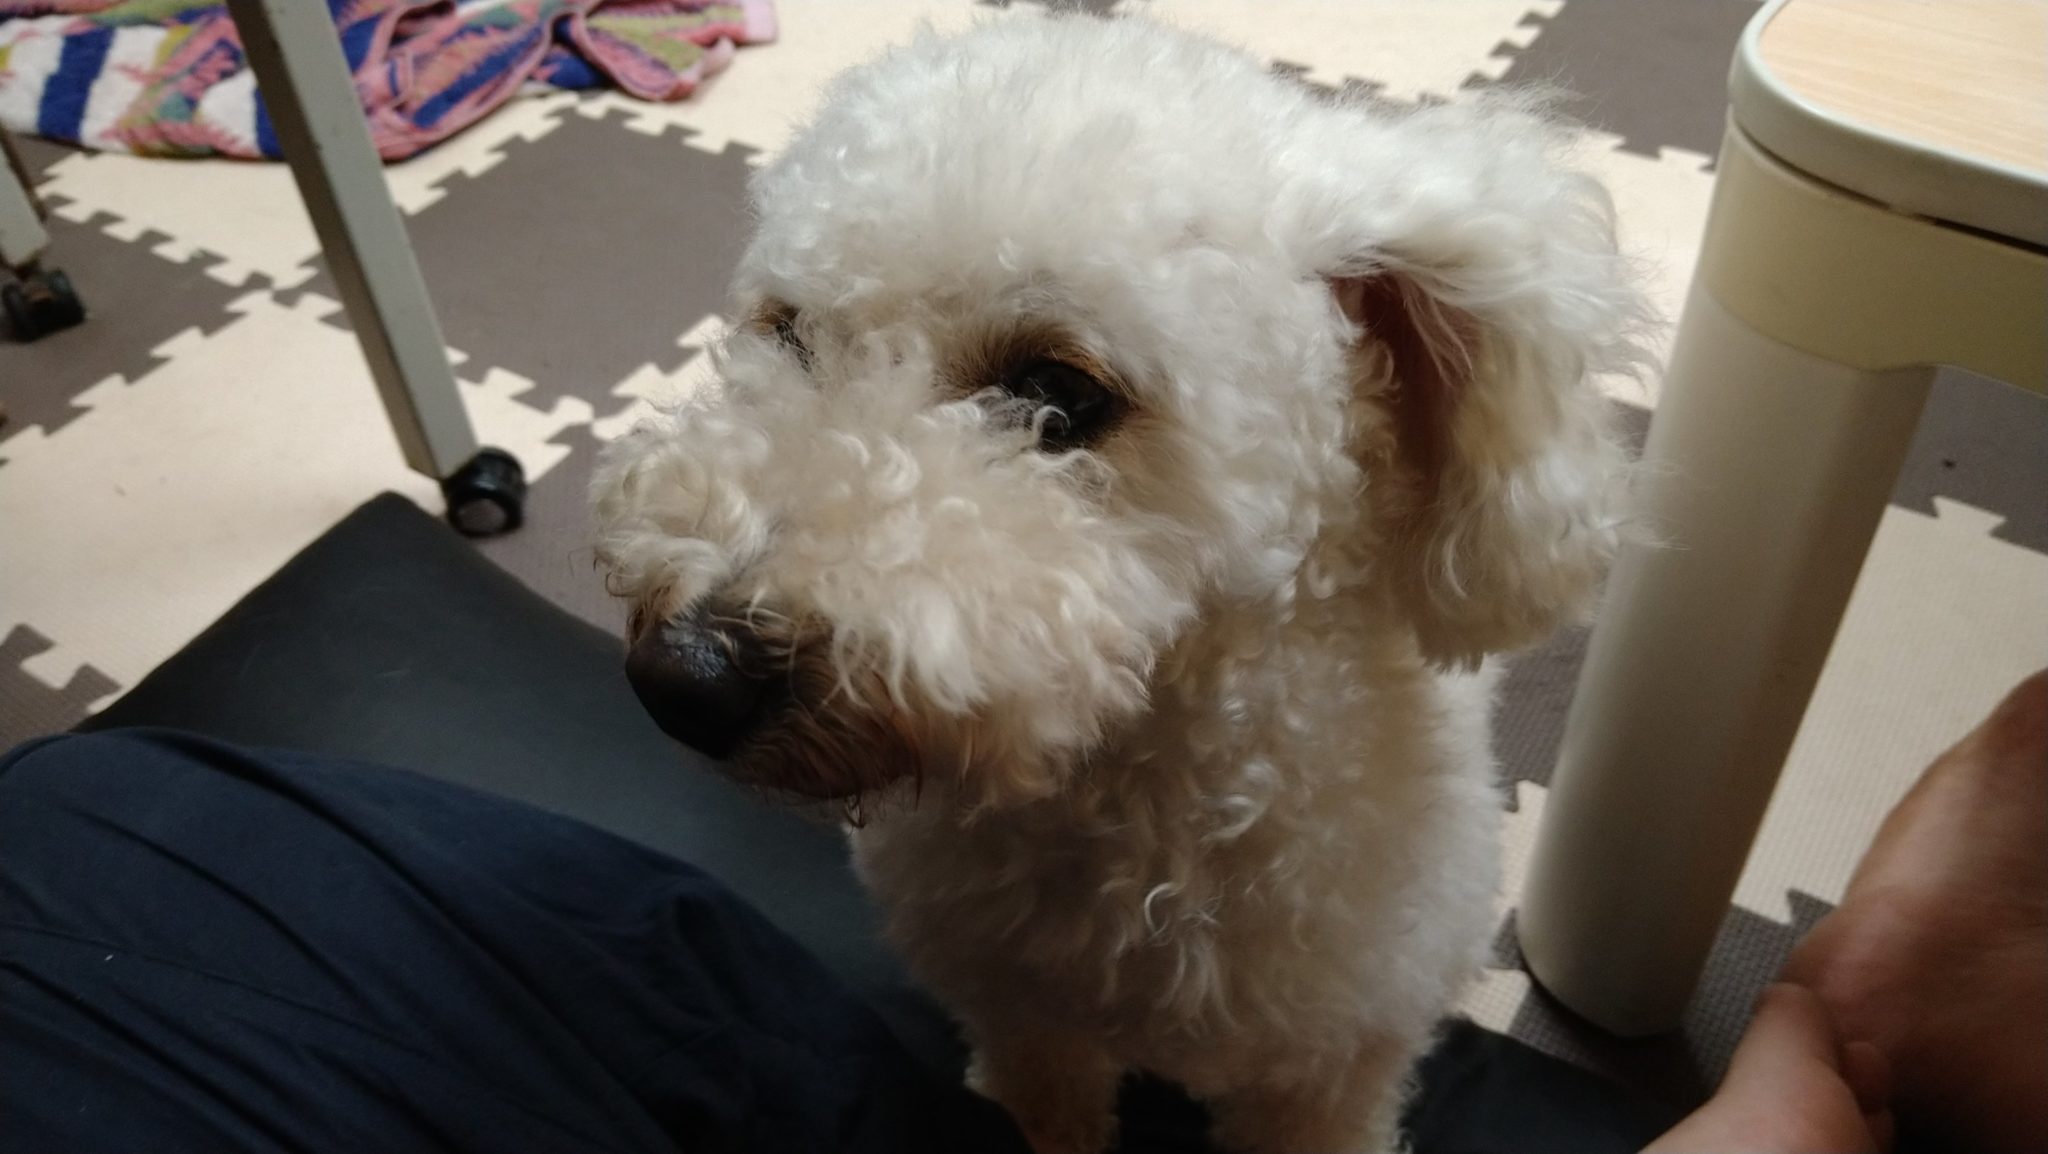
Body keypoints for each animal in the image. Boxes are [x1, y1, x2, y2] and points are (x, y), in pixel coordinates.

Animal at [594, 13, 1647, 1153]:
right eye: (789, 332)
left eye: (1057, 390)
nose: (683, 675)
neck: (1139, 800)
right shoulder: (1019, 1014)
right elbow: (1045, 1099)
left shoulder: (1334, 1063)